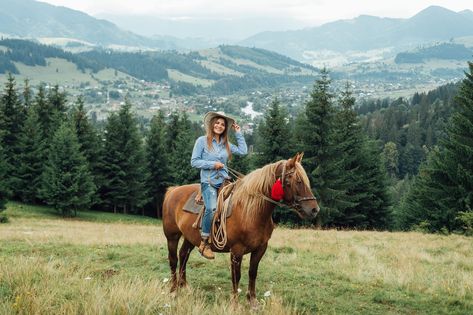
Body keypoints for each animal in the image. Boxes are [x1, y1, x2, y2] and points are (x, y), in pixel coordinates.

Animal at [160, 153, 318, 306]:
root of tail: (173, 190)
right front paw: (235, 302)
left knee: (183, 255)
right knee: (173, 259)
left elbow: (252, 272)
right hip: (172, 236)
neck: (250, 211)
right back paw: (173, 290)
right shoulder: (236, 250)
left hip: (190, 238)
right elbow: (236, 275)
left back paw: (185, 287)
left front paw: (252, 301)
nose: (314, 209)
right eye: (298, 181)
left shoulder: (261, 248)